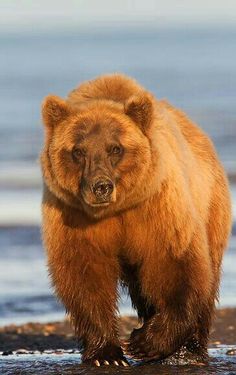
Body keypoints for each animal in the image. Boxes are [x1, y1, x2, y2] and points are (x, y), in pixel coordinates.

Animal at [40, 73, 230, 368]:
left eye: (115, 148)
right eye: (78, 151)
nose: (101, 187)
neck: (116, 209)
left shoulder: (156, 206)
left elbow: (174, 261)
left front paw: (146, 343)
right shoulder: (73, 215)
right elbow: (84, 273)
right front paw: (106, 355)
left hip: (210, 203)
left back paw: (190, 351)